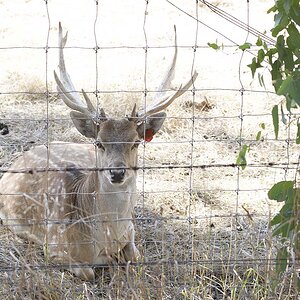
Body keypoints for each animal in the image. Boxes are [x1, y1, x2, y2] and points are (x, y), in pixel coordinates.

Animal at [0, 22, 197, 280]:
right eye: (99, 142)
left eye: (136, 142)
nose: (117, 172)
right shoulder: (54, 246)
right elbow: (89, 272)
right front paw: (108, 264)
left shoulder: (131, 231)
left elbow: (135, 258)